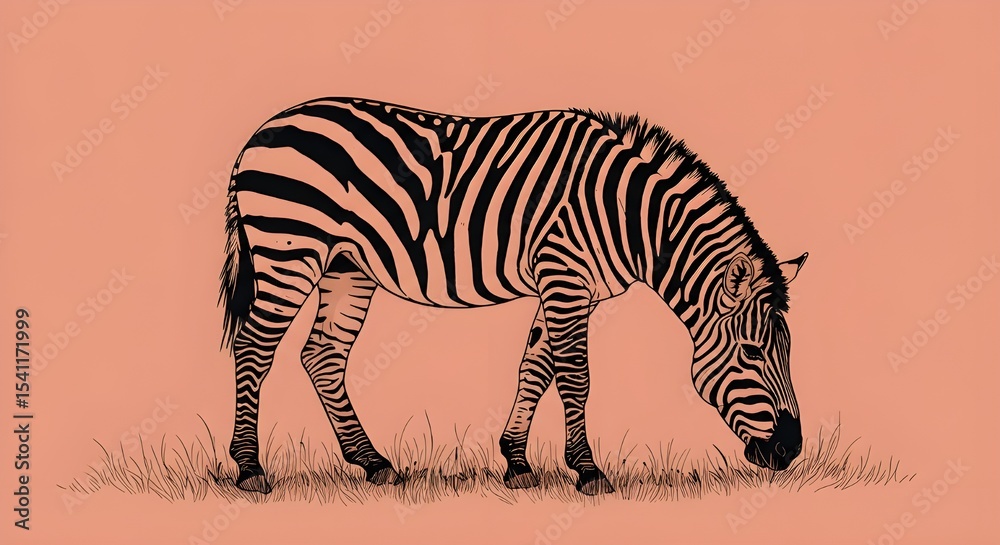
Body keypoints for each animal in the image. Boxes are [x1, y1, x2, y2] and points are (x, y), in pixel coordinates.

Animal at [218, 97, 809, 495]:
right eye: (753, 352)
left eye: (788, 352)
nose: (791, 450)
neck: (626, 214)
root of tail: (260, 132)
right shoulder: (564, 274)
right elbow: (575, 376)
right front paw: (588, 471)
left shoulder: (569, 285)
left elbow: (536, 366)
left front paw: (517, 462)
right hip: (290, 249)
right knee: (254, 347)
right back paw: (249, 468)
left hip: (346, 265)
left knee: (322, 355)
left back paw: (373, 462)